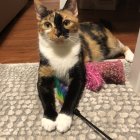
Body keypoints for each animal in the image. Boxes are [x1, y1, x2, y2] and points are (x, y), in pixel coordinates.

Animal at [34, 0, 134, 132]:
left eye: (66, 22)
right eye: (47, 24)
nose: (58, 32)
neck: (60, 52)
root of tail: (98, 24)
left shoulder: (78, 75)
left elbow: (71, 96)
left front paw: (63, 120)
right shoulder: (44, 75)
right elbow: (46, 98)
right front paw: (49, 119)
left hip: (109, 47)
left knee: (122, 45)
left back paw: (130, 56)